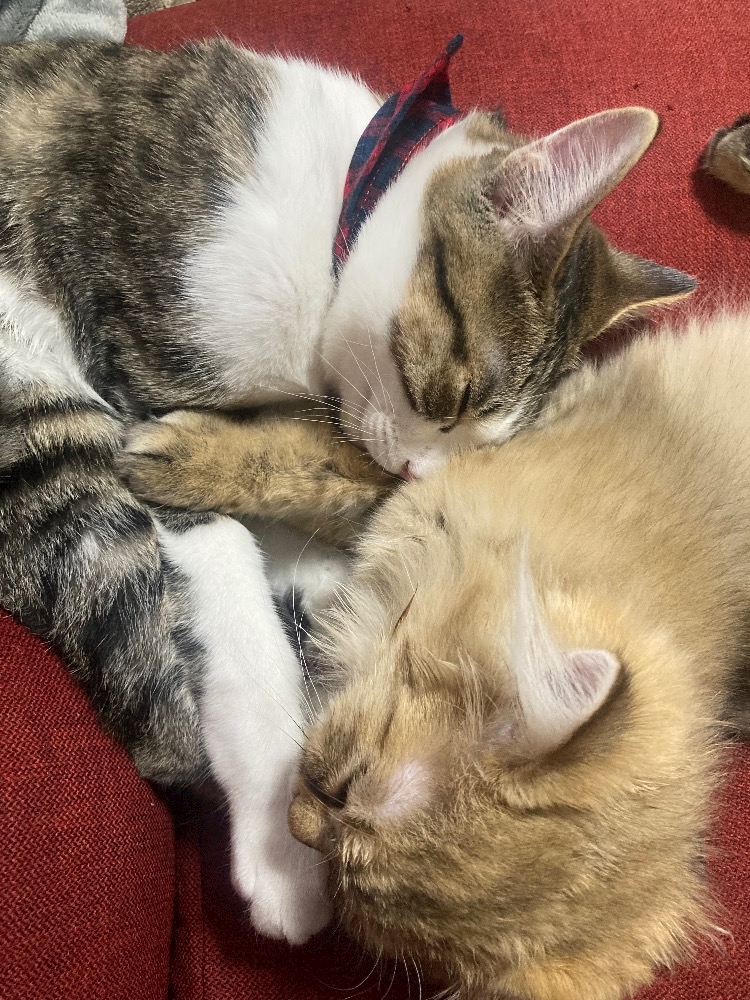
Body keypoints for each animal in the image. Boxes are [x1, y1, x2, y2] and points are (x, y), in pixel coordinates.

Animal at [0, 35, 692, 943]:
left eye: (491, 442)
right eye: (453, 398)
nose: (413, 477)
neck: (335, 206)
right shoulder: (143, 375)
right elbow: (238, 604)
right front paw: (280, 846)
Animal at [128, 309, 750, 998]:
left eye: (349, 890)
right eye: (342, 786)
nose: (297, 825)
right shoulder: (440, 477)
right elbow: (333, 466)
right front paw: (179, 453)